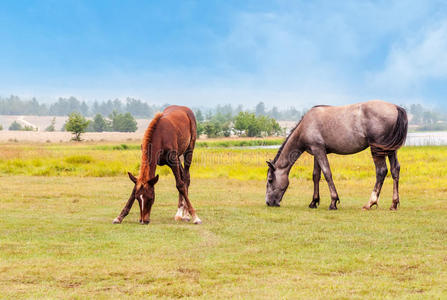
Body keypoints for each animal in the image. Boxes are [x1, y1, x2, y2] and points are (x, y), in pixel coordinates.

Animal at [266, 99, 410, 210]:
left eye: (270, 180)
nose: (268, 202)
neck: (306, 125)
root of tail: (395, 107)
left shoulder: (319, 150)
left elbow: (327, 174)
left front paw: (333, 202)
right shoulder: (316, 152)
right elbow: (316, 176)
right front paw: (314, 202)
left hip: (377, 150)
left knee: (381, 171)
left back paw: (370, 203)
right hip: (391, 150)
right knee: (395, 170)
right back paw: (394, 204)